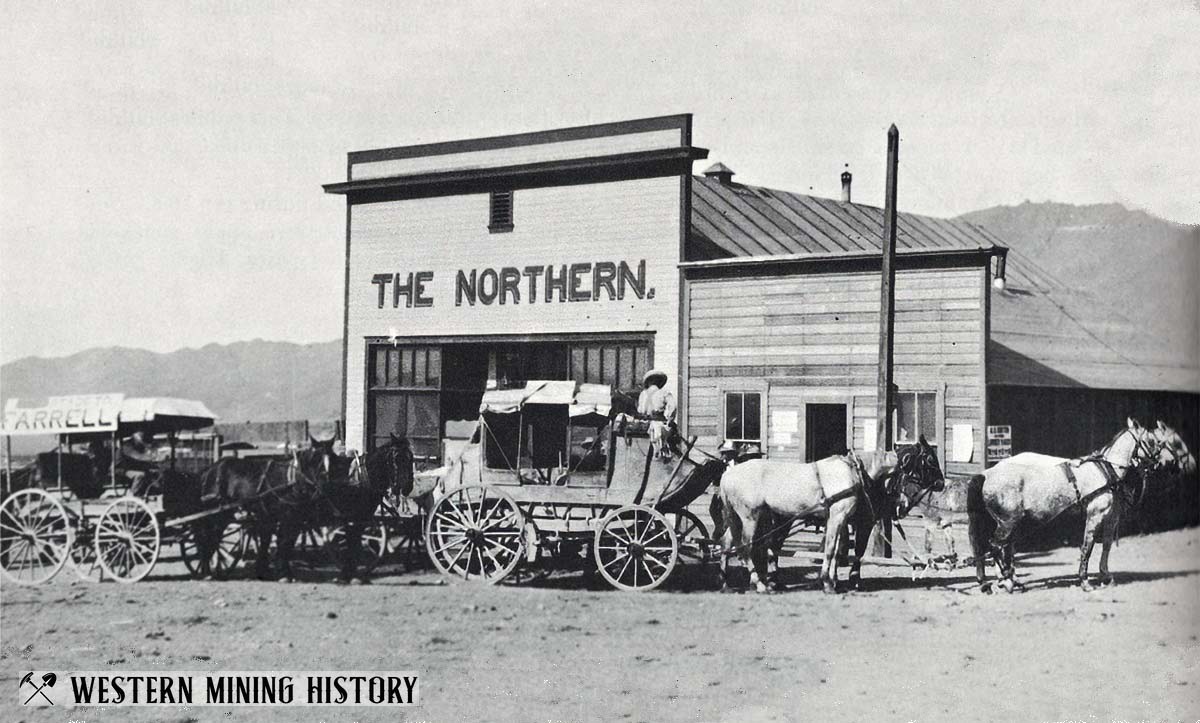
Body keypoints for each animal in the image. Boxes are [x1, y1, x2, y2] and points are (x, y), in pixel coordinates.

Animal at [199, 432, 415, 578]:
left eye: (412, 457)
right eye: (397, 458)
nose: (407, 487)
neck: (359, 478)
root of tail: (212, 468)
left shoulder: (357, 520)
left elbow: (352, 544)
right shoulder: (345, 519)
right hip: (223, 514)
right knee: (211, 537)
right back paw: (208, 570)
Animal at [710, 432, 945, 590]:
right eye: (930, 458)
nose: (942, 483)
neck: (858, 473)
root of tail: (728, 474)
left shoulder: (842, 520)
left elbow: (838, 549)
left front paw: (834, 580)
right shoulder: (843, 517)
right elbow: (834, 549)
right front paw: (830, 582)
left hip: (744, 518)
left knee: (729, 543)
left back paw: (726, 581)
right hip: (751, 517)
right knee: (746, 547)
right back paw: (759, 583)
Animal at [969, 415, 1166, 590]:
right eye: (1151, 441)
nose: (1160, 463)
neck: (1105, 470)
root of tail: (987, 474)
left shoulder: (1110, 516)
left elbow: (1106, 544)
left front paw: (1106, 576)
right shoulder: (1095, 515)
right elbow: (1087, 546)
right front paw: (1085, 581)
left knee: (1000, 547)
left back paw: (1005, 580)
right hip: (1008, 522)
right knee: (996, 546)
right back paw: (1007, 581)